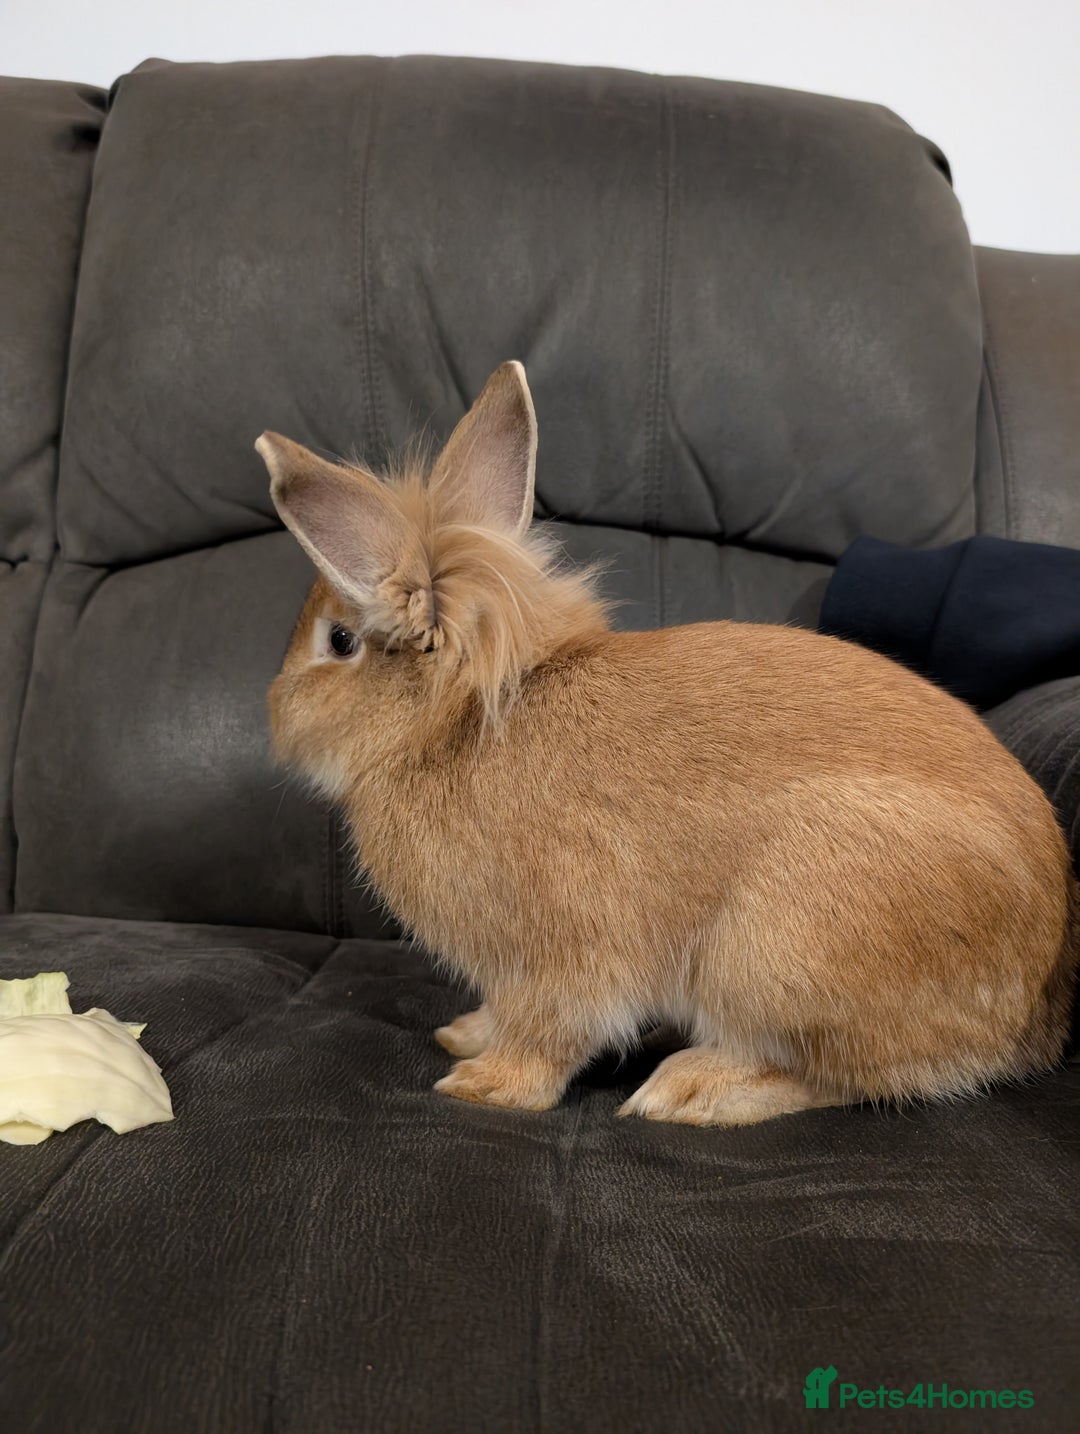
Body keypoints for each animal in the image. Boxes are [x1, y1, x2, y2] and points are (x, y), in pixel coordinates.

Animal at [255, 361, 1078, 1127]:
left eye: (338, 642)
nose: (274, 715)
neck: (455, 726)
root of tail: (1036, 1013)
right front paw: (465, 1035)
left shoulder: (560, 953)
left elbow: (548, 1033)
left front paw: (481, 1085)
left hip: (772, 956)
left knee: (842, 1074)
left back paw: (688, 1090)